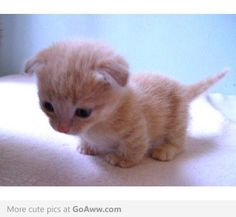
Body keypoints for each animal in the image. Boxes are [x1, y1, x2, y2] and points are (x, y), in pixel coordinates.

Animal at [24, 39, 227, 168]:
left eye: (83, 112)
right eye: (48, 106)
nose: (62, 128)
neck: (98, 124)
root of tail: (182, 87)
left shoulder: (137, 127)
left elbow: (135, 146)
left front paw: (123, 160)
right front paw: (87, 145)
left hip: (177, 118)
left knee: (178, 139)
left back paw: (166, 149)